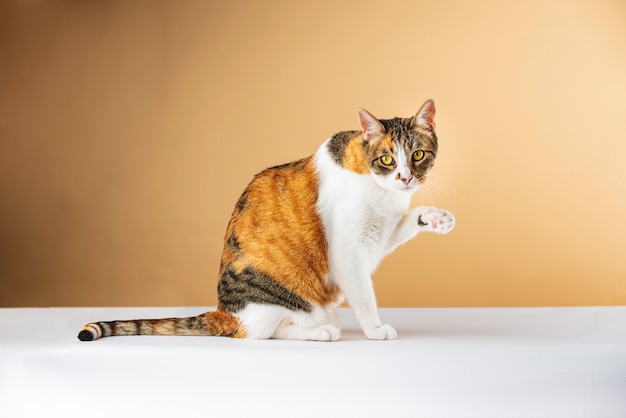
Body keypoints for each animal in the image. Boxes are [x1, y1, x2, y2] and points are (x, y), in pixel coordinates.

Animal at [78, 99, 454, 342]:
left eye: (418, 154)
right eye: (388, 159)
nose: (405, 178)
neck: (381, 191)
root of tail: (224, 311)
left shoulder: (378, 234)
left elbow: (406, 221)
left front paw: (435, 218)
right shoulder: (347, 252)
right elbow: (364, 295)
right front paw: (375, 329)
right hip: (280, 298)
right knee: (264, 332)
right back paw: (321, 331)